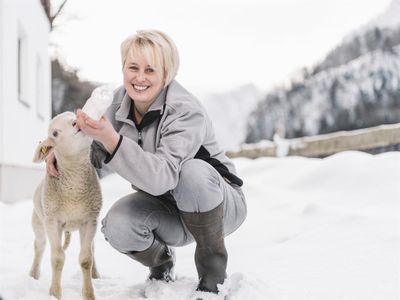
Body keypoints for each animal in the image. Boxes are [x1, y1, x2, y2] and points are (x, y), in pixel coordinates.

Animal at [29, 111, 102, 300]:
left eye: (73, 115)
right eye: (55, 133)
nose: (76, 122)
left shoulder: (90, 220)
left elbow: (86, 259)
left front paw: (89, 294)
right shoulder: (52, 221)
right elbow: (57, 258)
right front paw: (55, 293)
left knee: (93, 248)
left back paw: (95, 275)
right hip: (39, 221)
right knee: (39, 246)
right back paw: (33, 274)